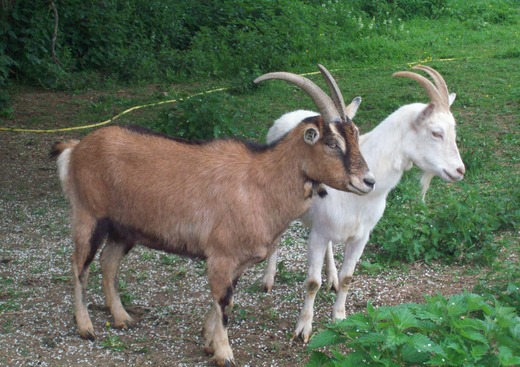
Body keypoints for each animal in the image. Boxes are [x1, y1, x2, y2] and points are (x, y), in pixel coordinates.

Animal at [49, 64, 374, 366]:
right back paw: (86, 327)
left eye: (356, 136)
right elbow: (224, 303)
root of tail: (76, 148)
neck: (261, 182)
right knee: (79, 266)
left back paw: (121, 317)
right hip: (88, 215)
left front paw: (208, 340)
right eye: (332, 143)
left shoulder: (237, 261)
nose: (368, 181)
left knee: (108, 263)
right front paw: (224, 353)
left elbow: (222, 300)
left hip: (123, 229)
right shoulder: (221, 255)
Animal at [262, 65, 466, 342]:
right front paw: (303, 328)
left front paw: (340, 318)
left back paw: (332, 278)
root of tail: (288, 116)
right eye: (436, 132)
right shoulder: (318, 235)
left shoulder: (360, 235)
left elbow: (349, 277)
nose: (459, 170)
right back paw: (269, 279)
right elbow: (312, 283)